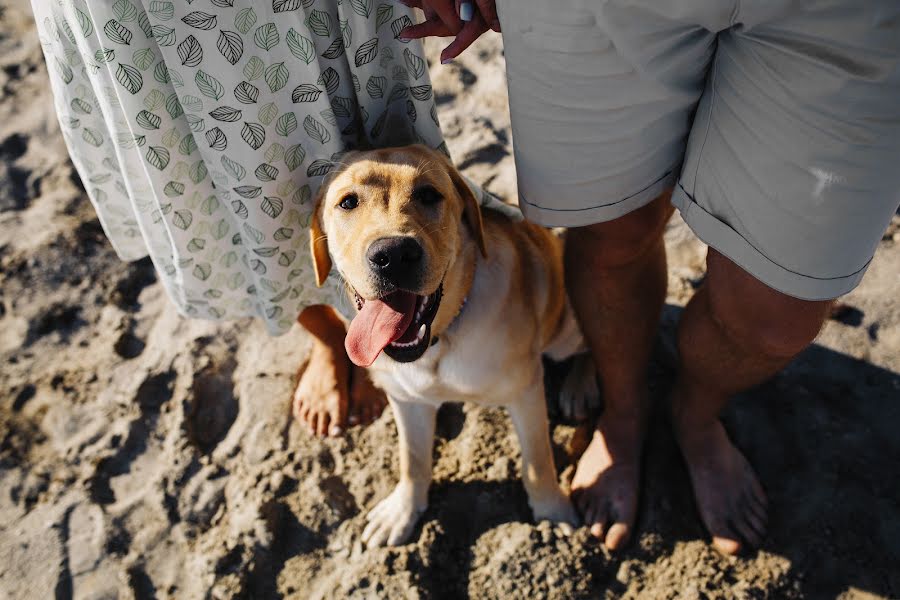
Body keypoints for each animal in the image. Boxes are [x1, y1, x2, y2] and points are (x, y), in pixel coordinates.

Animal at [312, 145, 592, 548]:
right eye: (348, 202)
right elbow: (412, 459)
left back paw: (580, 386)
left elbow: (538, 462)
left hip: (564, 328)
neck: (438, 341)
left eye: (429, 195)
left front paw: (552, 511)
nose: (393, 255)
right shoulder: (406, 400)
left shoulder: (524, 391)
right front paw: (403, 510)